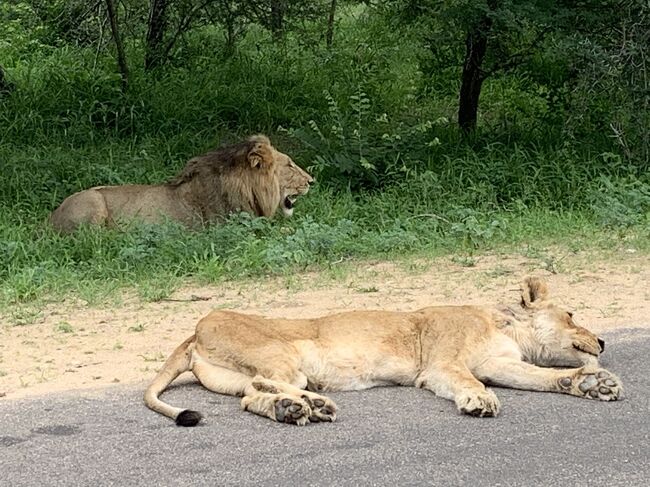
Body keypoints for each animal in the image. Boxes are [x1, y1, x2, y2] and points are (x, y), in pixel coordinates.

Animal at [144, 278, 620, 428]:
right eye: (572, 314)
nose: (601, 342)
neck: (510, 329)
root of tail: (194, 329)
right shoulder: (442, 364)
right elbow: (466, 381)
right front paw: (479, 399)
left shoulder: (500, 363)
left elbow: (542, 378)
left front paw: (591, 383)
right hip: (283, 355)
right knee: (268, 381)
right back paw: (313, 404)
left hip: (237, 376)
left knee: (250, 397)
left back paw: (292, 410)